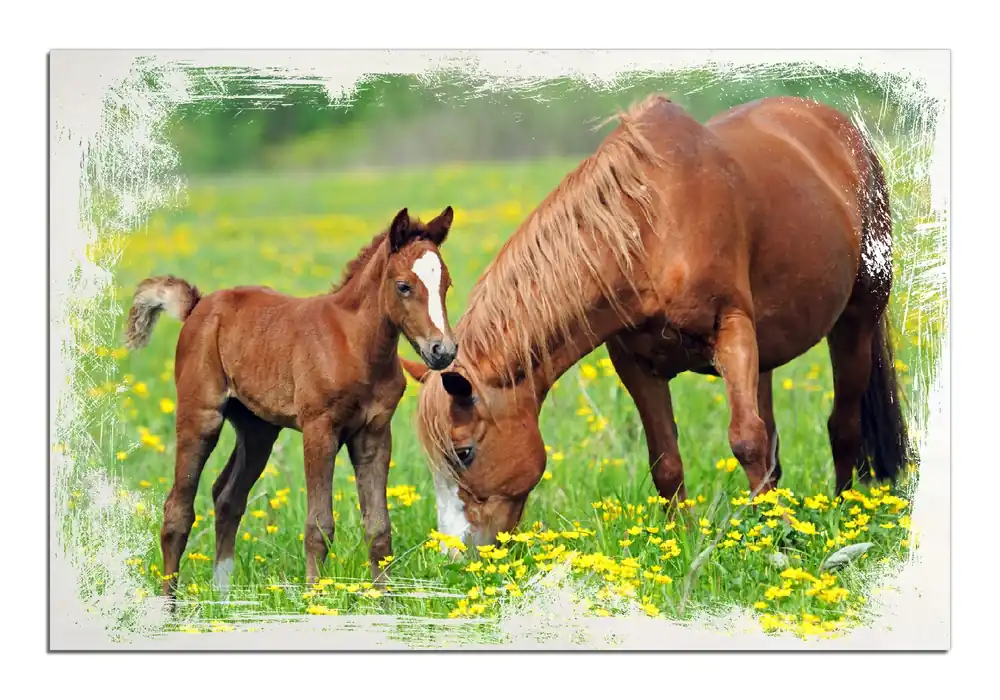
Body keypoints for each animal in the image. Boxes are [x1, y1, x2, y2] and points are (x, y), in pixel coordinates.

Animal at [124, 206, 458, 597]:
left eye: (446, 285)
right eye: (403, 286)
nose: (442, 350)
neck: (354, 344)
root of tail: (198, 305)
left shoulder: (374, 434)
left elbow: (378, 527)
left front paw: (385, 601)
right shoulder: (319, 429)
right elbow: (319, 526)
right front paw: (315, 598)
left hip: (258, 430)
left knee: (228, 497)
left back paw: (223, 596)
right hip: (201, 416)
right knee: (178, 509)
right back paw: (168, 604)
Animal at [404, 95, 913, 552]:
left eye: (464, 452)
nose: (456, 552)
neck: (652, 228)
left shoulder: (731, 331)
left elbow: (746, 440)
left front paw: (779, 539)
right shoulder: (635, 362)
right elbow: (667, 461)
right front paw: (682, 541)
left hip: (856, 320)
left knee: (842, 426)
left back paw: (843, 514)